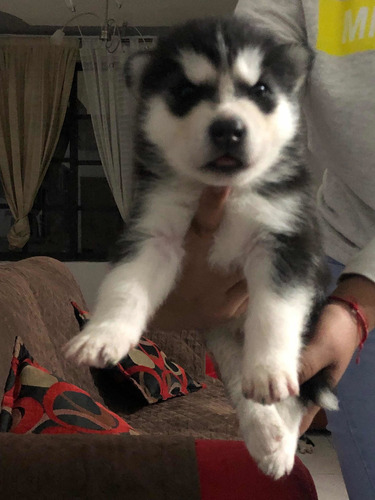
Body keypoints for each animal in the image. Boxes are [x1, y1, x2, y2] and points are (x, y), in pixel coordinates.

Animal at [66, 17, 340, 480]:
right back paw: (265, 437)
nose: (228, 128)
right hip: (224, 338)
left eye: (261, 90)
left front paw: (269, 369)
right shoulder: (154, 231)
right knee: (242, 390)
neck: (224, 192)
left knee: (295, 396)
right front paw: (103, 335)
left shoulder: (285, 240)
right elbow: (126, 288)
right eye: (184, 92)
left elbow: (274, 312)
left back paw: (280, 441)